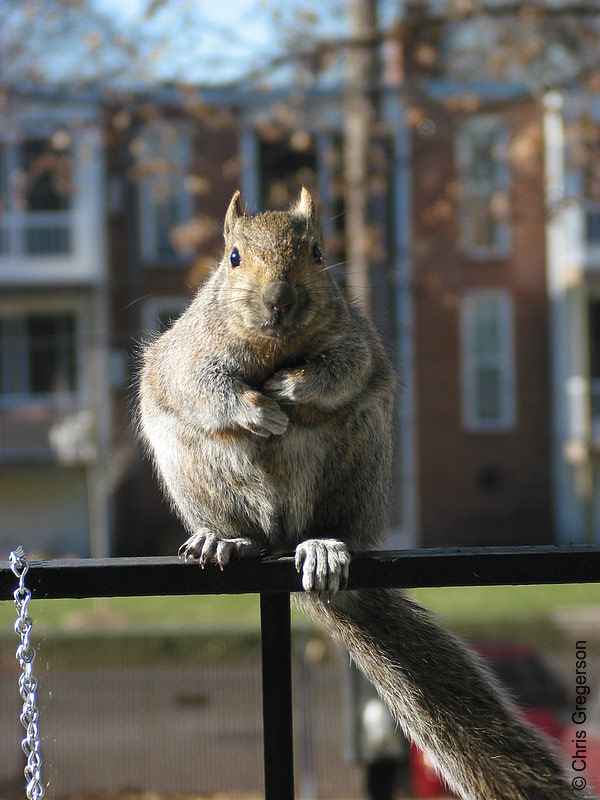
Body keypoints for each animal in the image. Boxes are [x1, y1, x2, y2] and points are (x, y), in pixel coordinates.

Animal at [138, 189, 584, 800]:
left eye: (319, 254)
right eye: (232, 257)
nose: (279, 300)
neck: (276, 345)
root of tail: (283, 537)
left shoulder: (358, 343)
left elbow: (342, 370)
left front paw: (292, 389)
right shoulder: (189, 352)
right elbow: (206, 387)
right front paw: (259, 409)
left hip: (359, 461)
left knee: (332, 523)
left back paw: (324, 546)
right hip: (192, 468)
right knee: (239, 521)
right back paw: (225, 539)